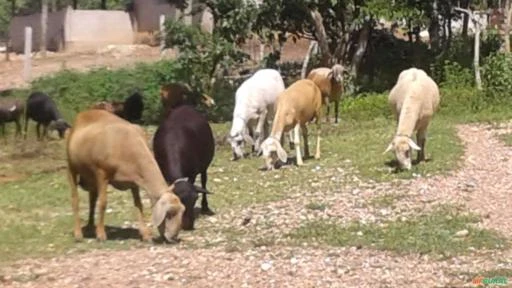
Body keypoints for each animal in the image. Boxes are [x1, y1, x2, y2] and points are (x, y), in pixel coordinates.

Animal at [66, 109, 185, 242]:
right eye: (169, 213)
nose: (174, 237)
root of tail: (84, 113)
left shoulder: (135, 180)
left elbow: (138, 204)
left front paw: (145, 234)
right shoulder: (102, 174)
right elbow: (103, 203)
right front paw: (101, 234)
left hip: (90, 176)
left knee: (92, 199)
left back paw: (91, 226)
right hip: (72, 167)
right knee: (75, 199)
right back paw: (78, 233)